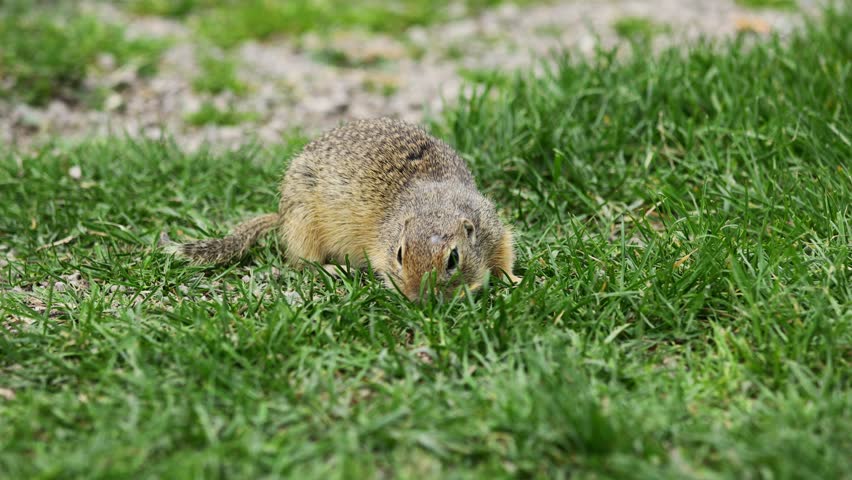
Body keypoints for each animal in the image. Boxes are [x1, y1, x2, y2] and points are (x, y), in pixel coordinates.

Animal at [170, 117, 520, 300]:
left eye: (453, 259)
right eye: (399, 255)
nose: (415, 297)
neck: (434, 205)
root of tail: (280, 215)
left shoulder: (494, 230)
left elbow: (504, 257)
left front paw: (513, 280)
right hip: (304, 224)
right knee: (302, 263)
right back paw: (337, 269)